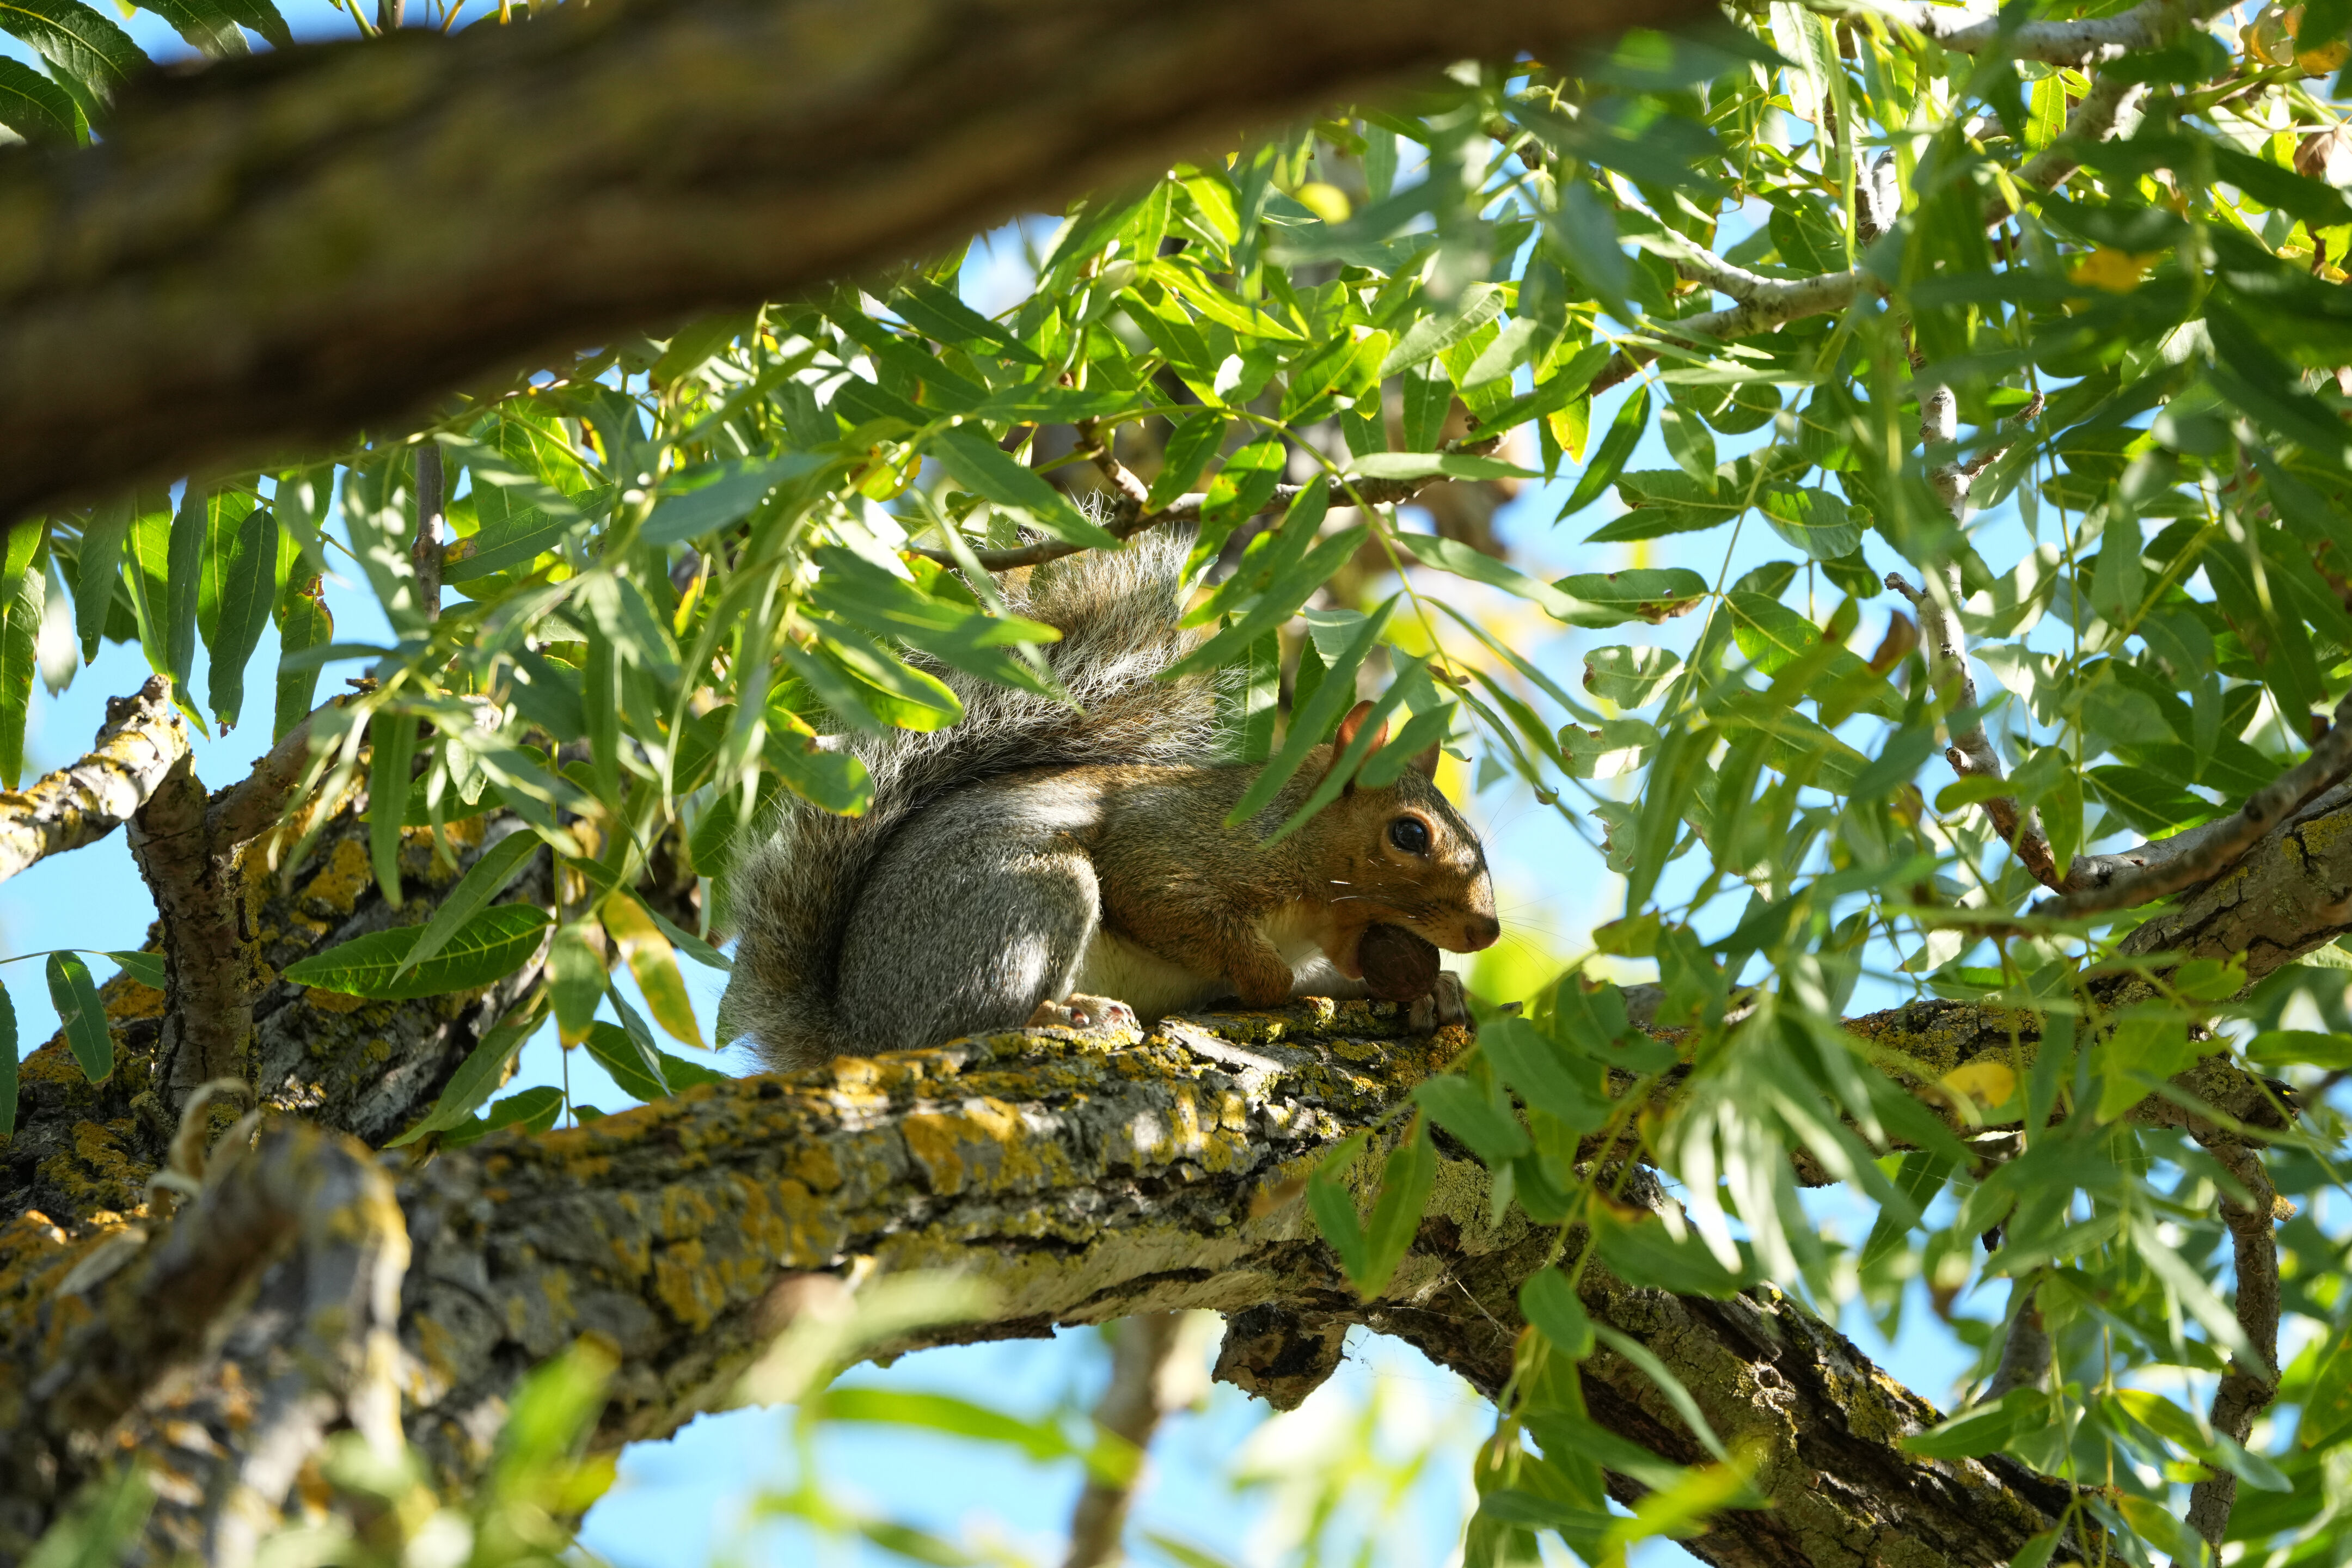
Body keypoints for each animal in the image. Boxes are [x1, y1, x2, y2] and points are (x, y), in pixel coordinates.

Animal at [716, 529, 1499, 1070]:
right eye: (1410, 835)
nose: (1487, 931)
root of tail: (858, 1031)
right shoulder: (1178, 843)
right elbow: (1162, 898)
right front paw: (1269, 980)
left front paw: (1433, 992)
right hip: (1028, 897)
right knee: (962, 1024)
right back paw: (1061, 1018)